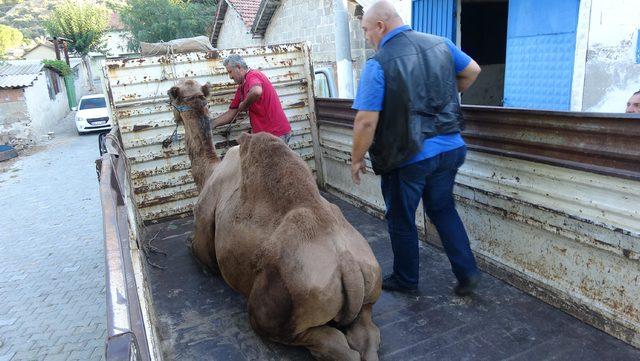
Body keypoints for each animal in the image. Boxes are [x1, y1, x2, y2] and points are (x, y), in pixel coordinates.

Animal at [168, 79, 382, 360]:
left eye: (172, 96)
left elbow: (195, 248)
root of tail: (349, 267)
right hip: (369, 286)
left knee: (327, 342)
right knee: (366, 334)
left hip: (282, 306)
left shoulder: (204, 228)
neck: (209, 173)